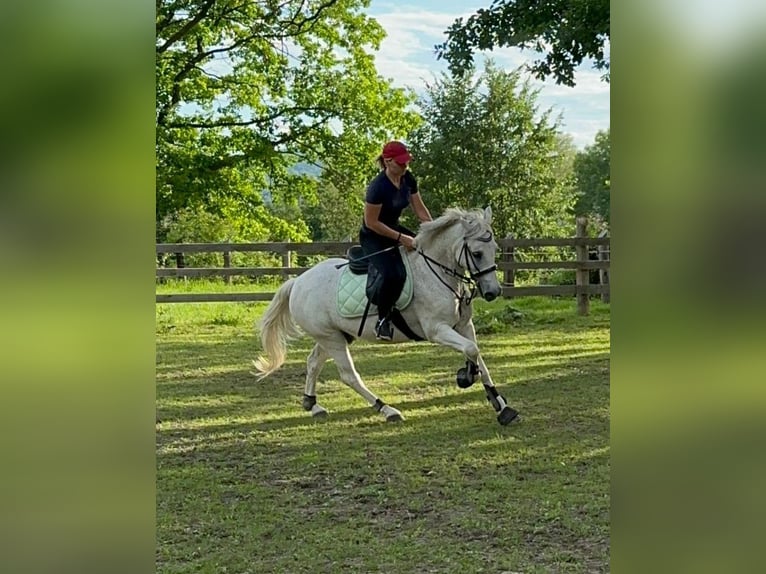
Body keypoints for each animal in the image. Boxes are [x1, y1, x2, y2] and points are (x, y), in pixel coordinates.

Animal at [255, 208, 520, 428]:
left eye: (495, 249)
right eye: (476, 253)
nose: (493, 292)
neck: (436, 272)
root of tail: (298, 282)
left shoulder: (464, 326)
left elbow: (477, 355)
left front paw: (501, 406)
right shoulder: (437, 330)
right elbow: (471, 351)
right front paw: (467, 376)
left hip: (333, 335)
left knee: (313, 363)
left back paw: (313, 405)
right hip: (332, 339)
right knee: (349, 375)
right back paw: (387, 410)